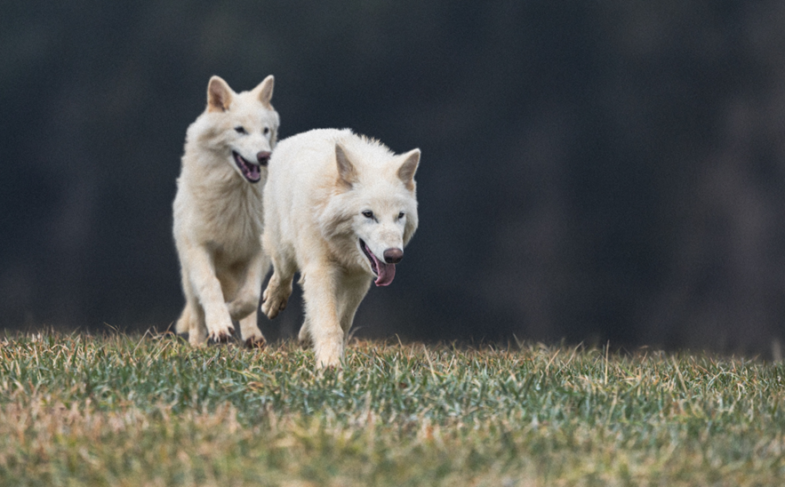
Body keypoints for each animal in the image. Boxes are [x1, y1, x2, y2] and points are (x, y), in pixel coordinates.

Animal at [173, 75, 279, 346]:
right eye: (240, 130)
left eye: (265, 130)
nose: (264, 156)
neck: (236, 196)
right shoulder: (199, 248)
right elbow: (210, 287)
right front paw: (220, 326)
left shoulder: (258, 251)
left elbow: (251, 296)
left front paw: (231, 313)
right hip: (187, 274)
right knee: (196, 312)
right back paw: (198, 343)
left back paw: (253, 337)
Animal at [261, 129, 420, 367]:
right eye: (368, 214)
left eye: (400, 215)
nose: (394, 256)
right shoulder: (321, 268)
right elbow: (329, 324)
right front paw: (330, 365)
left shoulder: (359, 280)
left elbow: (342, 322)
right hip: (284, 248)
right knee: (282, 274)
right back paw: (273, 301)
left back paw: (306, 333)